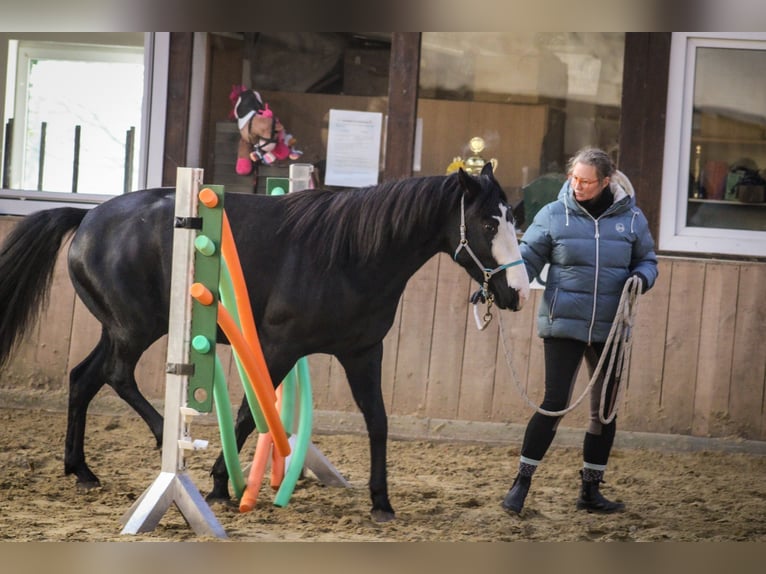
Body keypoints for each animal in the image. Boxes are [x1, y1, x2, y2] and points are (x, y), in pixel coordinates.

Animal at [0, 162, 530, 522]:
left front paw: (382, 501)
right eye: (488, 224)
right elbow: (246, 415)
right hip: (135, 329)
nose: (518, 292)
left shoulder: (362, 352)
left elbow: (377, 421)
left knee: (83, 378)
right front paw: (219, 484)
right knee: (115, 375)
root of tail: (88, 218)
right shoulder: (279, 347)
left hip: (119, 329)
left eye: (513, 220)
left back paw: (82, 471)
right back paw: (160, 438)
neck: (350, 254)